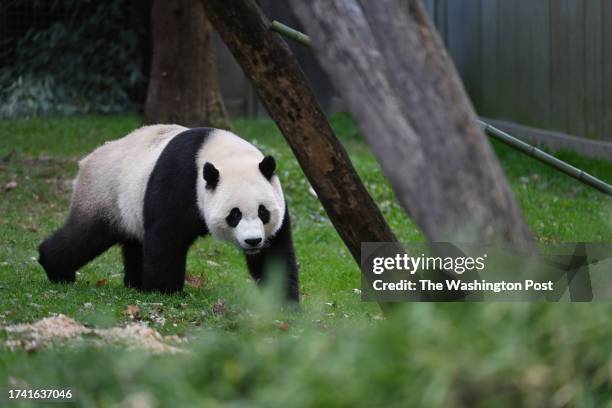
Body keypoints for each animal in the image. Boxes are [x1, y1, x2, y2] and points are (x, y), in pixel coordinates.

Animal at [37, 126, 300, 302]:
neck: (225, 155)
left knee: (135, 244)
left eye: (263, 212)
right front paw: (166, 291)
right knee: (86, 235)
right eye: (234, 215)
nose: (253, 241)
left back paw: (135, 283)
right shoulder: (182, 181)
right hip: (105, 192)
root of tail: (87, 159)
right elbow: (166, 237)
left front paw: (284, 302)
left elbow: (274, 254)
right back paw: (56, 268)